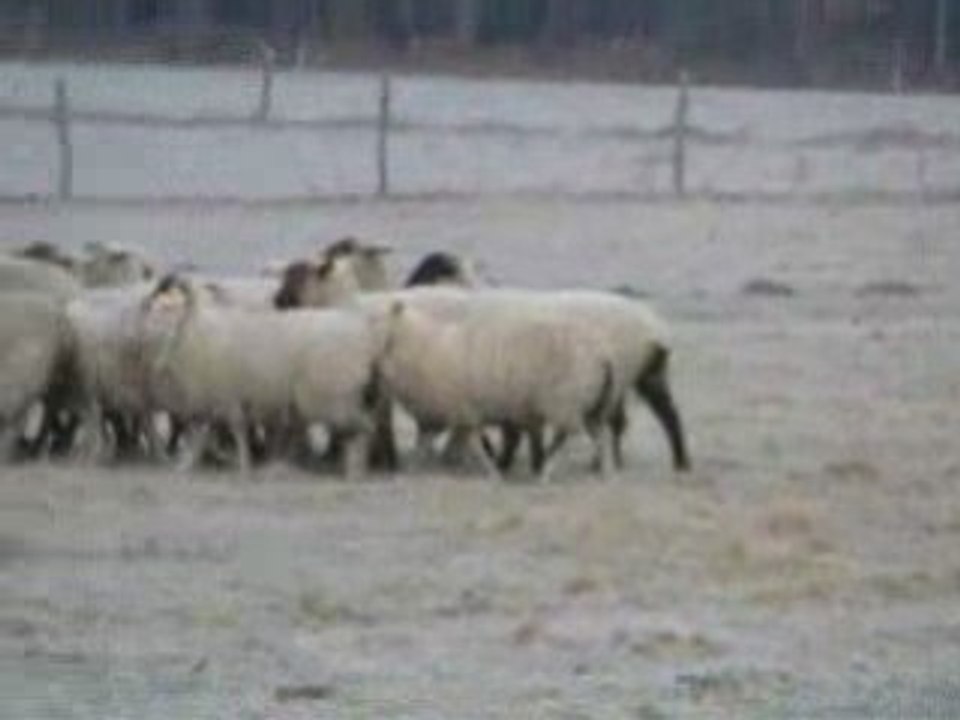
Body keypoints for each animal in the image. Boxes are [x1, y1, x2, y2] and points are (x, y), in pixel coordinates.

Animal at [144, 275, 385, 478]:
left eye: (171, 308)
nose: (158, 363)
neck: (194, 330)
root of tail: (364, 340)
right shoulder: (217, 402)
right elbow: (207, 436)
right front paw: (188, 465)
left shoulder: (225, 398)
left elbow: (233, 432)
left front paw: (243, 466)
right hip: (347, 399)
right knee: (362, 428)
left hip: (331, 400)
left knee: (364, 429)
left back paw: (355, 471)